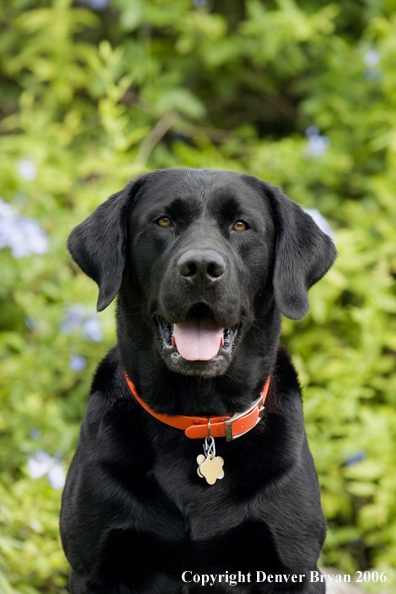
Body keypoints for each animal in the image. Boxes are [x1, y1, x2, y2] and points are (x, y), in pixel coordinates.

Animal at [60, 169, 336, 588]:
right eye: (163, 221)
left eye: (241, 225)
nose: (202, 267)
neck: (199, 414)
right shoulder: (92, 568)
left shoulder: (294, 568)